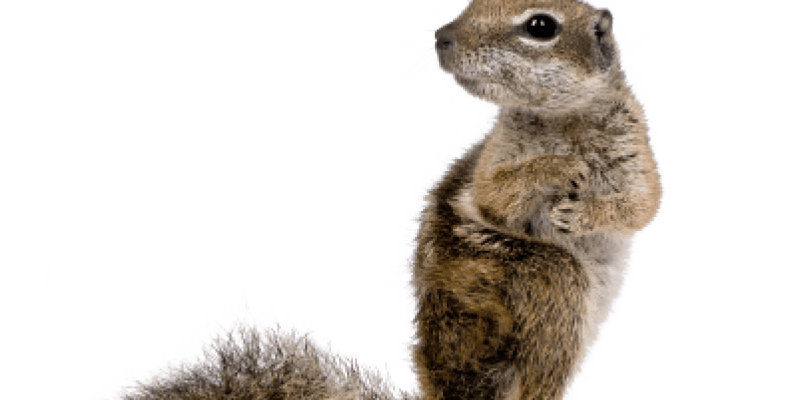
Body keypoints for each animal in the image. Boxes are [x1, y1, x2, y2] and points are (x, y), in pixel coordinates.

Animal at [86, 0, 663, 399]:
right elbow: (498, 197)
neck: (563, 120)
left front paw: (584, 208)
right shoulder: (497, 161)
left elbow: (643, 206)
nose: (443, 37)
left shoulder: (635, 149)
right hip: (550, 281)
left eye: (541, 26)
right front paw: (560, 171)